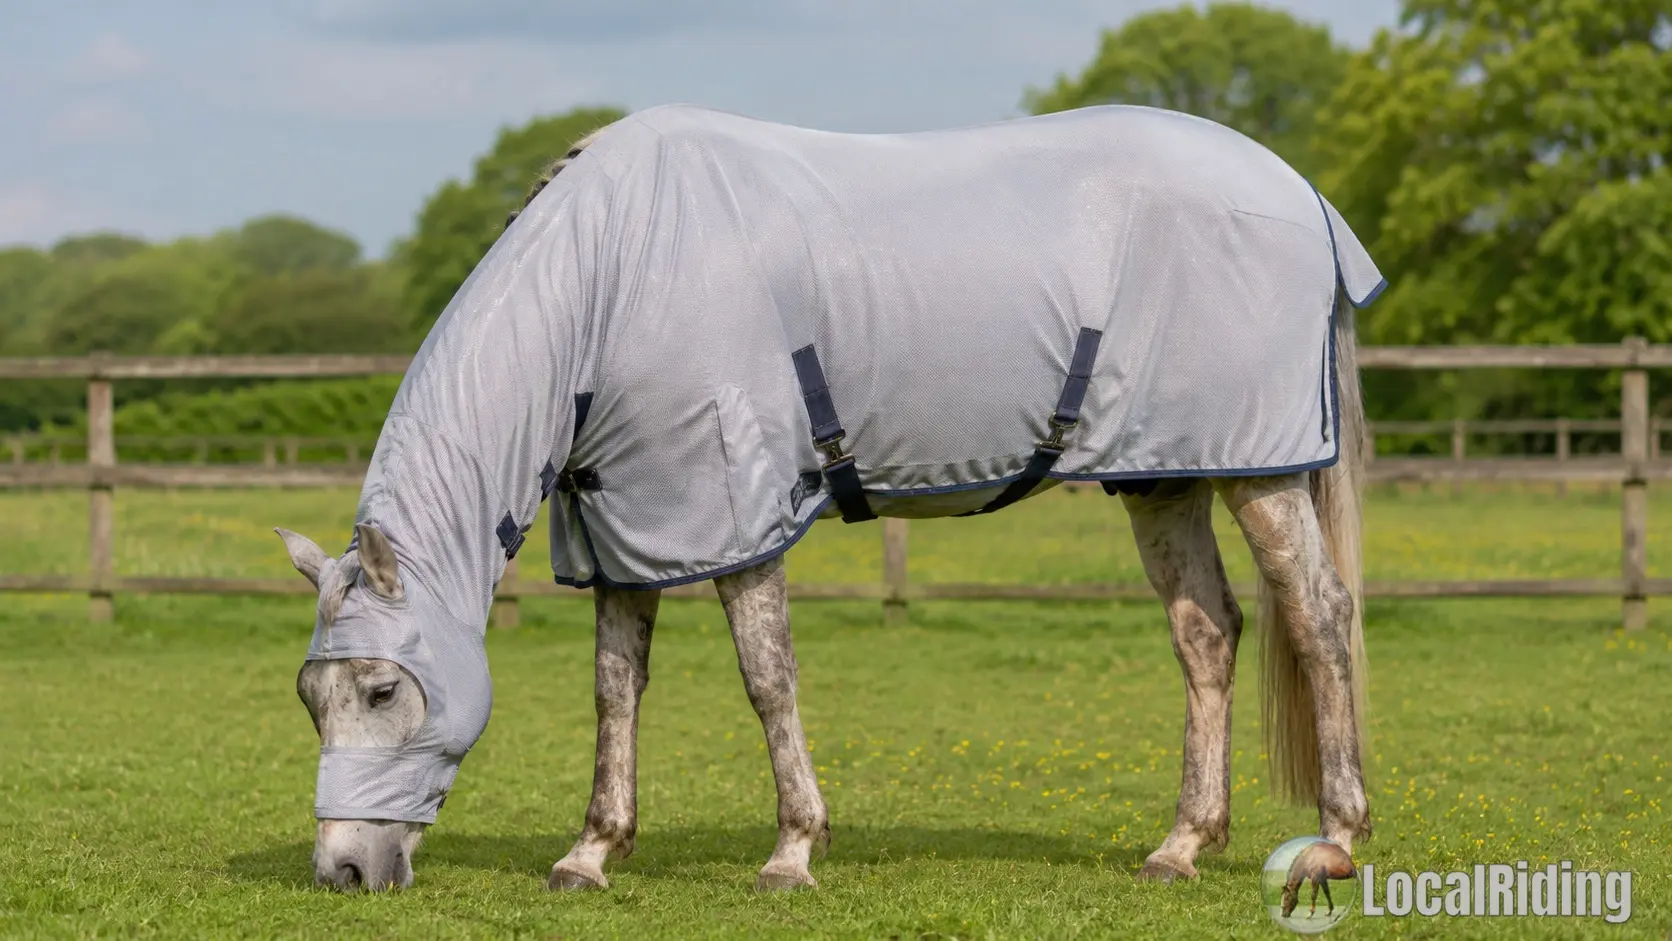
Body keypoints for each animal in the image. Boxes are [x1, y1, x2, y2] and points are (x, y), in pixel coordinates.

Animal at [278, 103, 1378, 892]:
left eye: (382, 690)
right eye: (308, 696)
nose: (343, 870)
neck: (613, 277)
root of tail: (1303, 195)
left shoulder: (736, 512)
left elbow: (768, 678)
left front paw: (791, 851)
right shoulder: (630, 527)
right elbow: (614, 688)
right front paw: (591, 851)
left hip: (1261, 469)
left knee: (1321, 618)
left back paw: (1333, 835)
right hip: (1164, 474)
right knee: (1208, 633)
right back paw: (1180, 844)